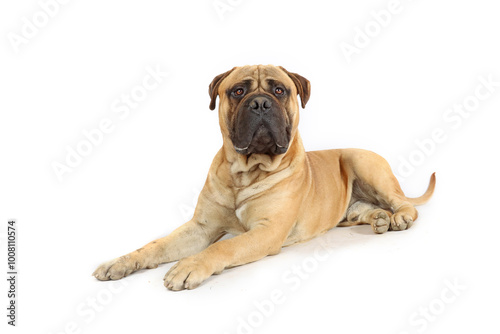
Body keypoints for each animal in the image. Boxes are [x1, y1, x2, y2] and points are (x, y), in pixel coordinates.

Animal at [93, 64, 434, 290]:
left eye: (280, 90)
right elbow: (155, 245)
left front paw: (190, 266)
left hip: (362, 162)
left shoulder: (266, 231)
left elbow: (223, 248)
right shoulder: (201, 228)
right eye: (238, 91)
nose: (260, 103)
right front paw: (121, 262)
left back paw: (399, 217)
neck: (246, 173)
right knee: (366, 211)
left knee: (403, 202)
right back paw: (379, 219)